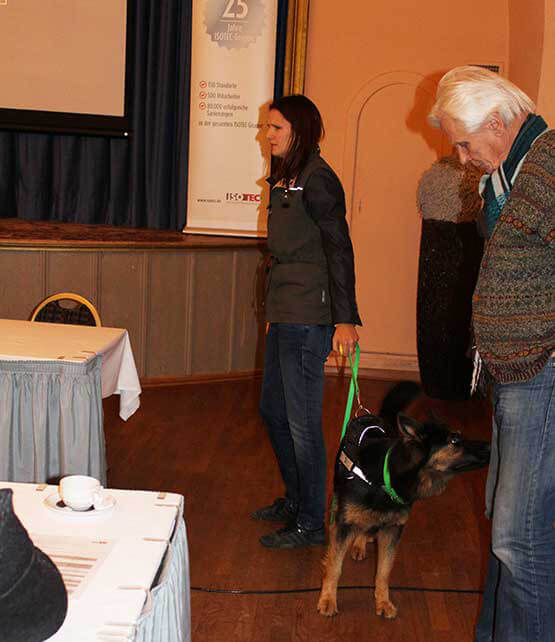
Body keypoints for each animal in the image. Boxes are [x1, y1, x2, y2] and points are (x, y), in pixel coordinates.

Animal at [318, 382, 490, 616]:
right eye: (454, 440)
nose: (490, 446)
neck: (387, 476)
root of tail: (371, 417)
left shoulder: (393, 530)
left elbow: (383, 571)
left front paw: (382, 602)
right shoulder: (347, 523)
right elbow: (335, 567)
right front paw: (328, 599)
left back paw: (361, 543)